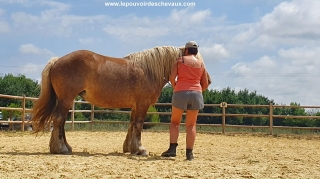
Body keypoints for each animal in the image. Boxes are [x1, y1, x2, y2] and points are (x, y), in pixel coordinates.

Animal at [31, 45, 212, 155]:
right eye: (197, 61)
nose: (208, 81)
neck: (148, 70)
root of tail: (57, 60)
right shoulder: (142, 104)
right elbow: (138, 125)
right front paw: (140, 149)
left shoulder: (135, 105)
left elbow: (131, 125)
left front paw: (129, 148)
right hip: (66, 99)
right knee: (58, 120)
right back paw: (61, 148)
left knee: (60, 122)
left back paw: (63, 147)